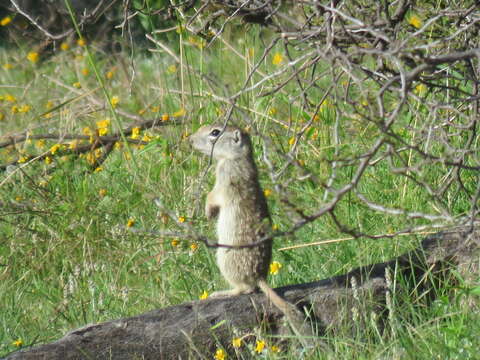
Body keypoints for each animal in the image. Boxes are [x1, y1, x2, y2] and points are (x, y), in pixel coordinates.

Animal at [189, 124, 314, 346]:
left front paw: (208, 212)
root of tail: (260, 276)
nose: (190, 140)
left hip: (226, 260)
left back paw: (221, 293)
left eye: (215, 132)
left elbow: (213, 195)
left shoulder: (225, 176)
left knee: (245, 289)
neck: (236, 157)